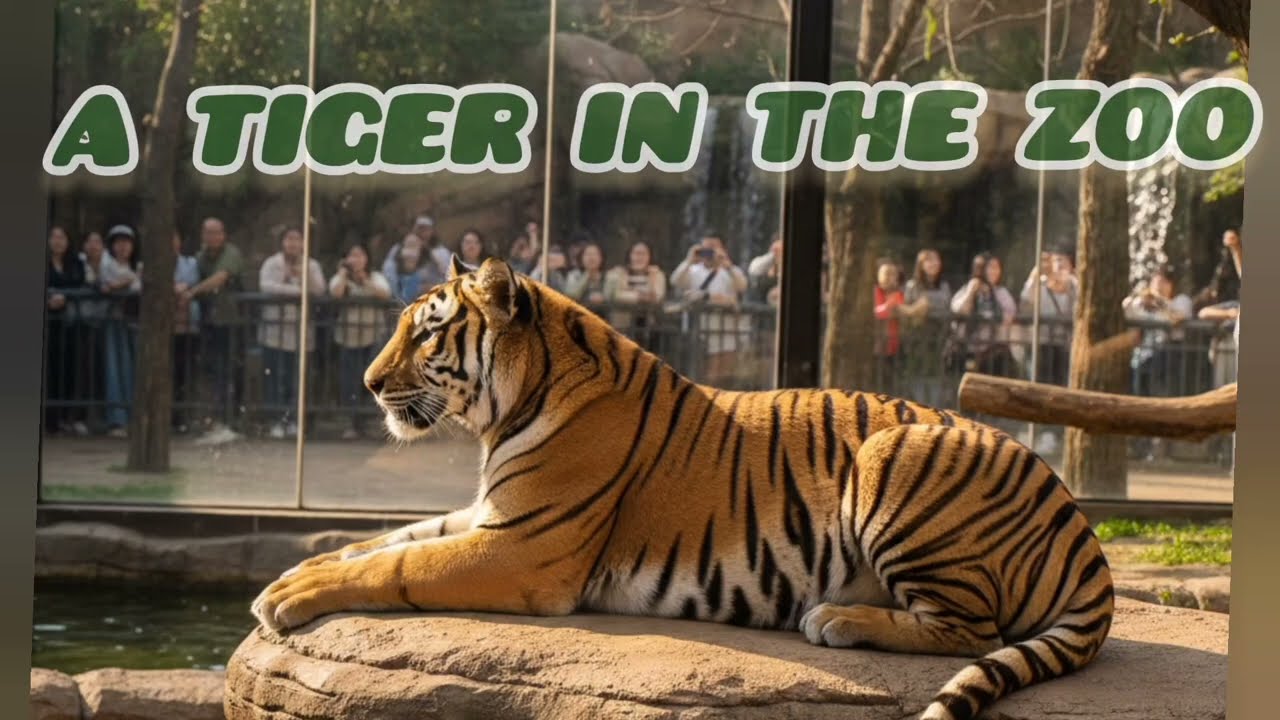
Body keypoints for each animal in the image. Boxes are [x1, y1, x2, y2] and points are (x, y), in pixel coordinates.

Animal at [252, 255, 1114, 720]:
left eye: (428, 331)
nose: (367, 383)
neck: (512, 403)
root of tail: (1082, 533)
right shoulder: (490, 514)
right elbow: (386, 538)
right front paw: (297, 570)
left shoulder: (523, 547)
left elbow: (398, 564)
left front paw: (291, 596)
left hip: (892, 455)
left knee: (974, 629)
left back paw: (836, 617)